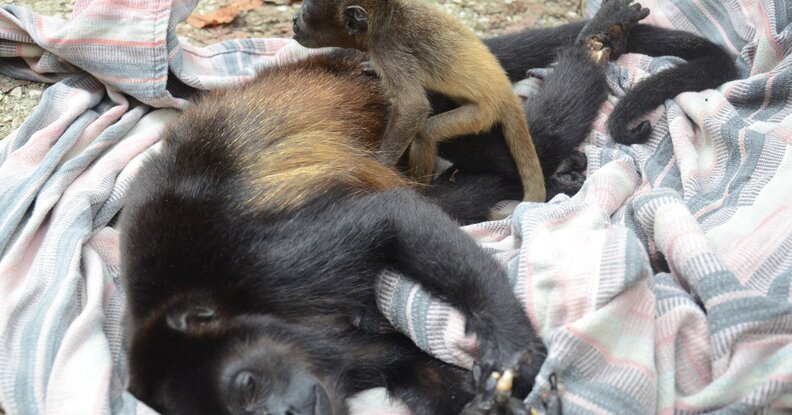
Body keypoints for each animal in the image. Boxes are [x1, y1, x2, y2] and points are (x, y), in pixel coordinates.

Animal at [292, 0, 547, 204]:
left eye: (305, 12)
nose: (294, 19)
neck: (383, 20)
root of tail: (504, 89)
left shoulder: (388, 48)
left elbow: (413, 106)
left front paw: (380, 167)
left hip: (483, 113)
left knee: (426, 132)